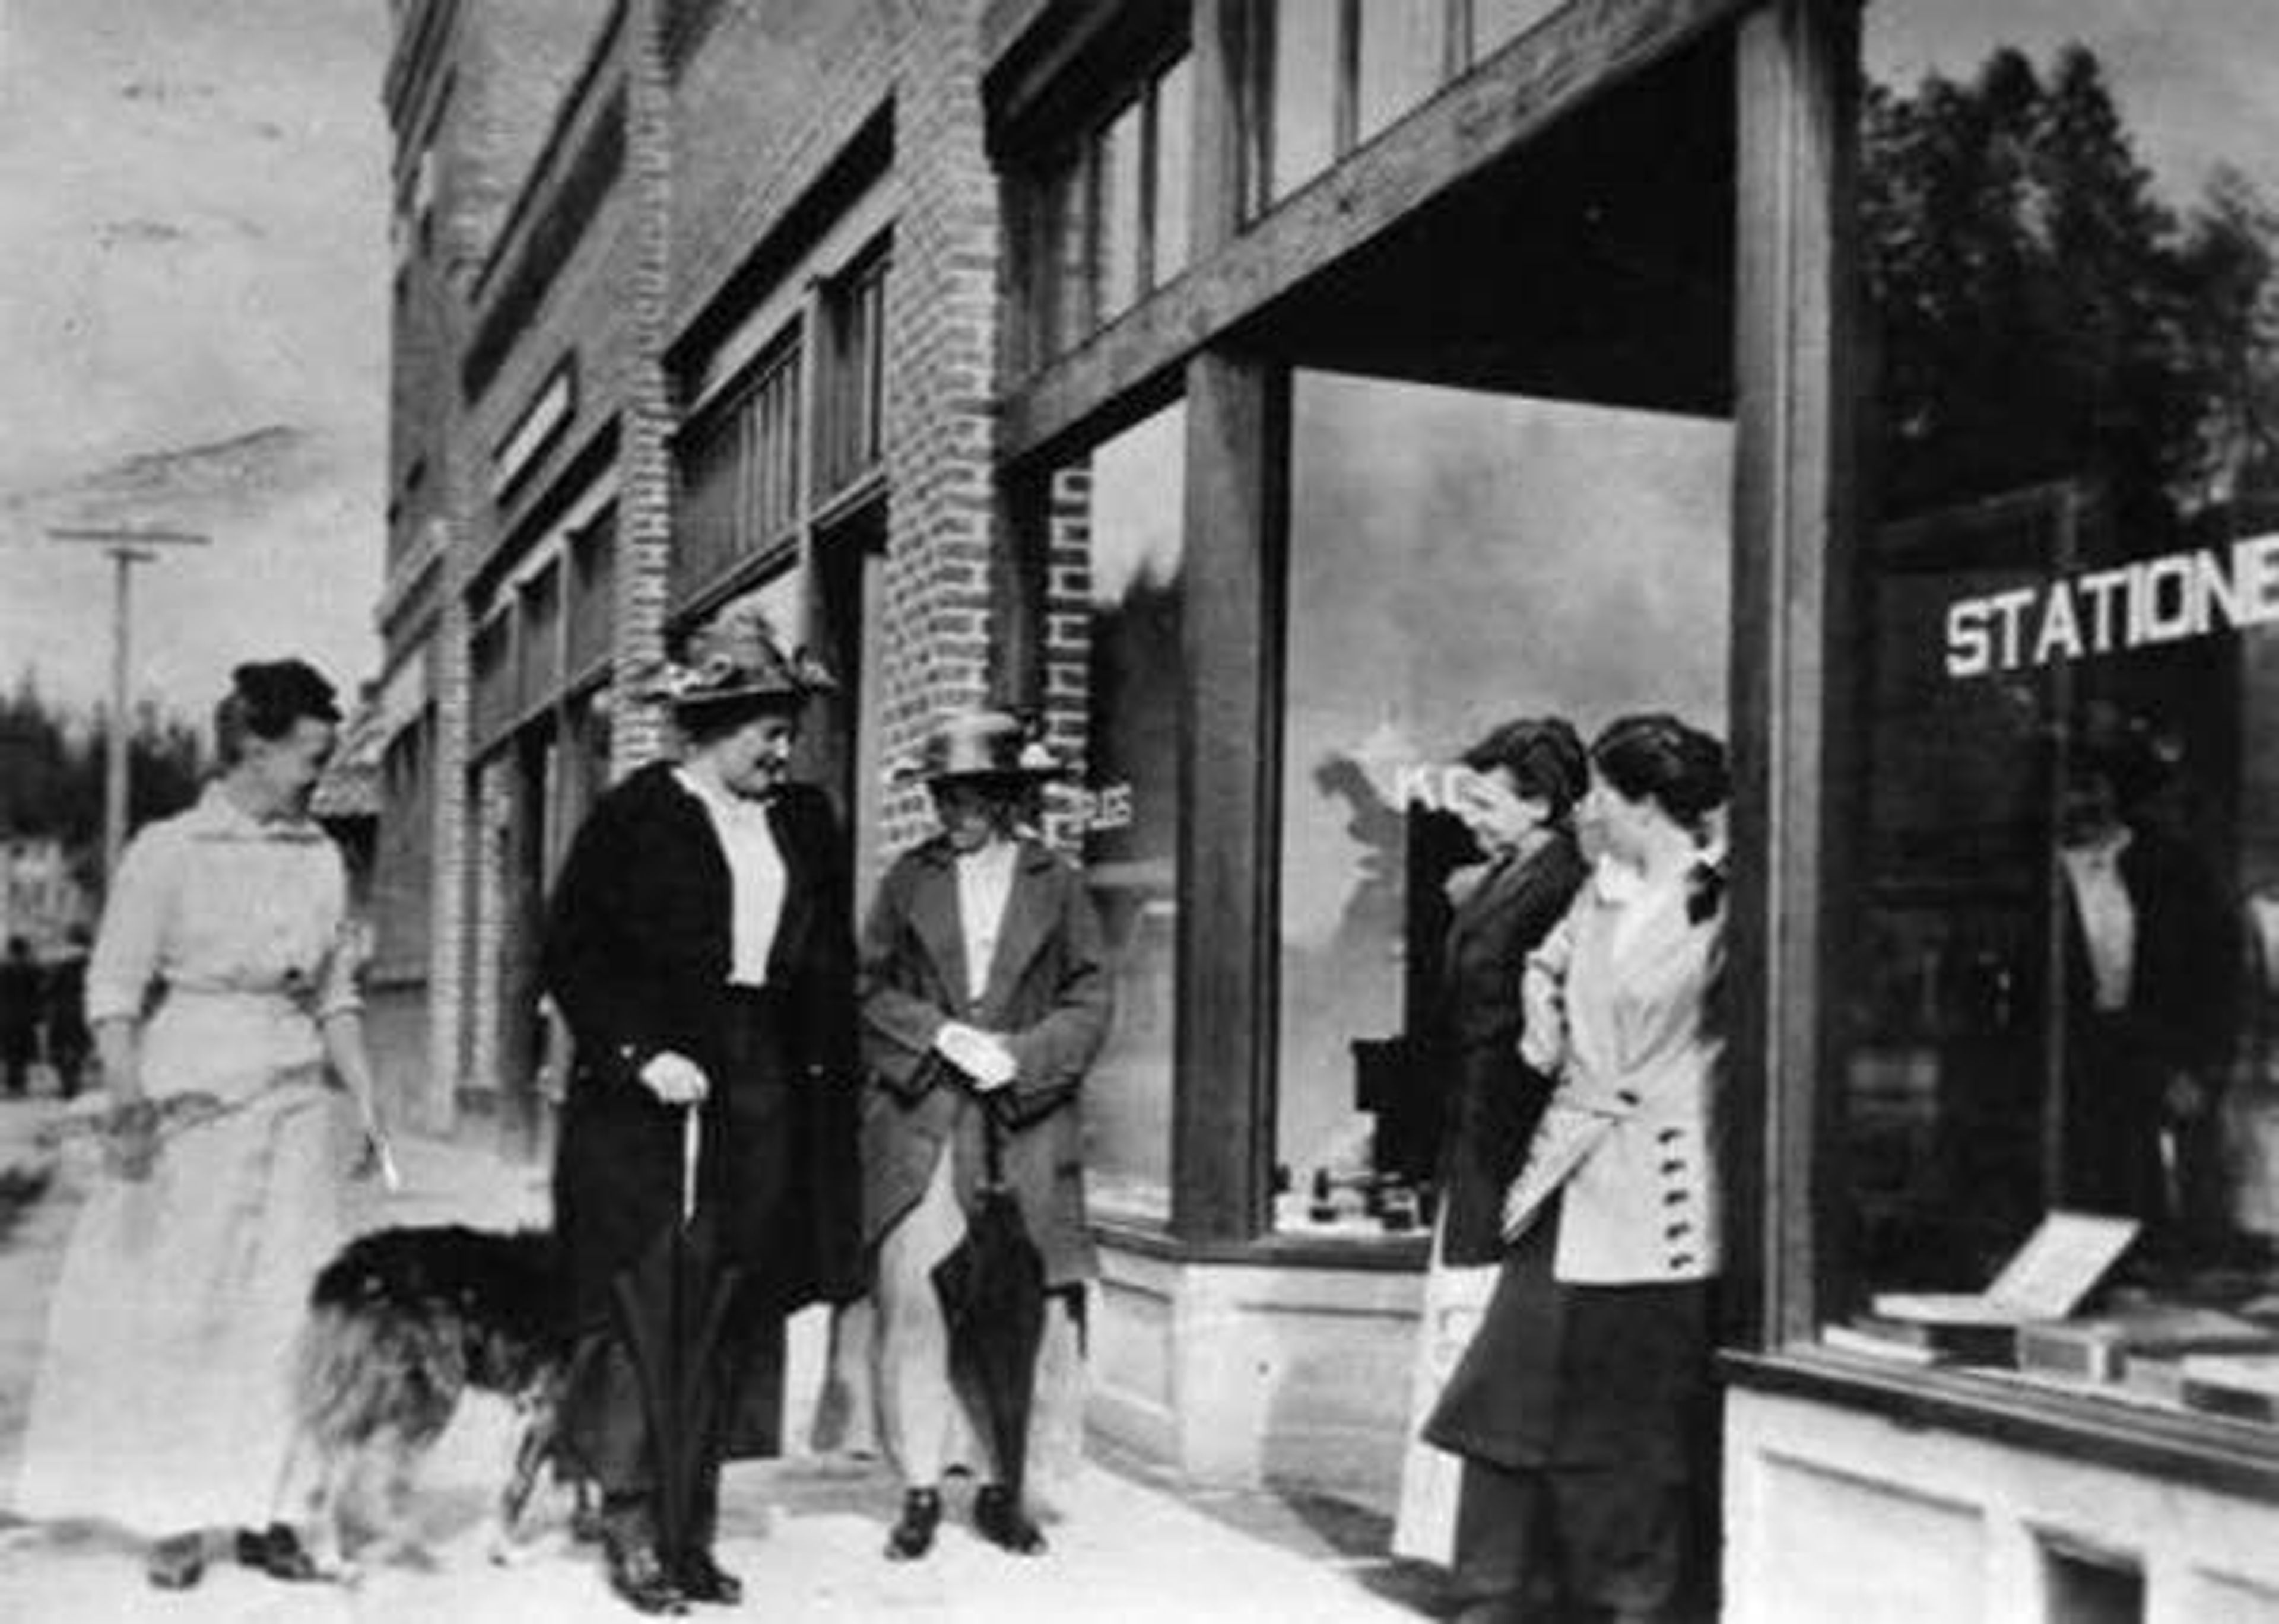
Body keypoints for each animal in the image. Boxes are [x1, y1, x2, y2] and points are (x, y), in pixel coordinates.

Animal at [283, 1221, 588, 1576]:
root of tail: (348, 1268)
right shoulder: (543, 1406)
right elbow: (519, 1488)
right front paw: (505, 1552)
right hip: (429, 1398)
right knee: (383, 1487)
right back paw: (389, 1551)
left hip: (373, 1401)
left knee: (329, 1484)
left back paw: (335, 1558)